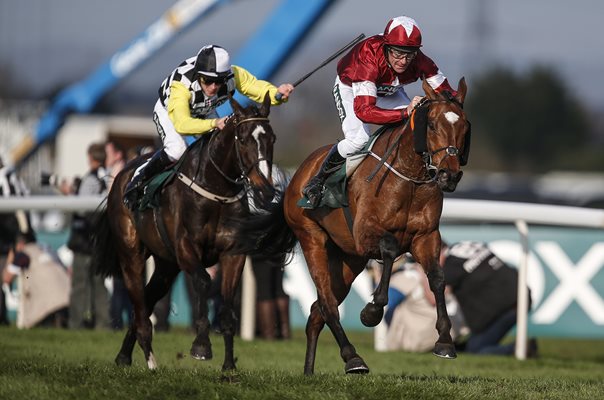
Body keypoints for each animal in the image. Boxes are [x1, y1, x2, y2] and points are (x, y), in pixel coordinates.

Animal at [92, 94, 276, 372]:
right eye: (243, 139)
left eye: (272, 139)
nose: (266, 190)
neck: (216, 191)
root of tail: (121, 176)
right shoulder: (186, 247)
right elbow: (203, 282)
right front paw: (201, 345)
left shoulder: (233, 254)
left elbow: (228, 307)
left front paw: (229, 366)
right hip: (131, 254)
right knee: (139, 304)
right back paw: (150, 361)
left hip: (166, 266)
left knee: (145, 303)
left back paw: (124, 356)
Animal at [231, 79, 472, 376]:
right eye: (433, 125)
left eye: (464, 127)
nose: (449, 175)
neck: (409, 178)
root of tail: (299, 174)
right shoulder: (365, 233)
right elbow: (390, 248)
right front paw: (372, 310)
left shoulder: (426, 237)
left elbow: (437, 278)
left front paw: (445, 341)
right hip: (312, 240)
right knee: (327, 304)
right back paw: (352, 358)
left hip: (348, 260)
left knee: (316, 312)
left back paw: (309, 371)